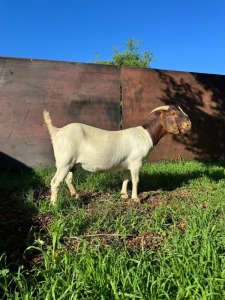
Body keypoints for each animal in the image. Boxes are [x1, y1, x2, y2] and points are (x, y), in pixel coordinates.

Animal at [43, 104, 191, 205]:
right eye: (173, 113)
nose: (189, 125)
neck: (146, 134)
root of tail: (56, 131)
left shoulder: (126, 164)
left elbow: (125, 178)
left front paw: (124, 195)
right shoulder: (136, 163)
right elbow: (135, 180)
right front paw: (135, 198)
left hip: (72, 164)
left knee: (68, 179)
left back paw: (76, 195)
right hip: (64, 162)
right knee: (55, 182)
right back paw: (54, 204)